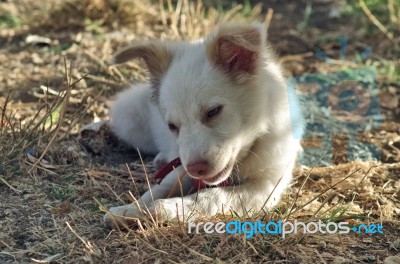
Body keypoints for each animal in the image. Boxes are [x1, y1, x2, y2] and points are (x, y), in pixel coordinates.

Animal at [102, 23, 304, 227]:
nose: (196, 169)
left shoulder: (266, 187)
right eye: (172, 126)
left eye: (213, 111)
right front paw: (131, 208)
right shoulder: (183, 167)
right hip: (127, 119)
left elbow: (213, 195)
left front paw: (166, 207)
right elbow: (160, 187)